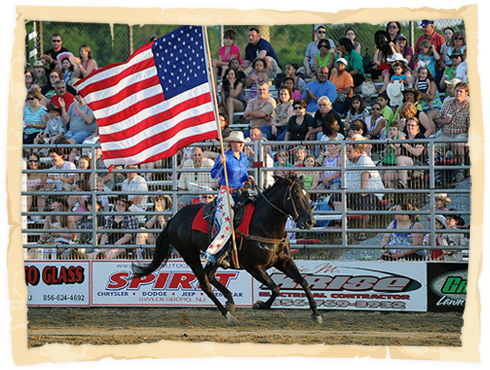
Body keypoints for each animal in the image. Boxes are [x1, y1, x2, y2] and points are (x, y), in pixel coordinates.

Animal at [132, 175, 322, 326]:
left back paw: (230, 300)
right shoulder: (254, 267)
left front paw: (316, 313)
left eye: (307, 195)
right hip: (190, 255)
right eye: (295, 195)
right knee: (205, 282)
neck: (264, 225)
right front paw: (260, 304)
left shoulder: (284, 261)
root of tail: (174, 219)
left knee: (209, 275)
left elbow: (304, 282)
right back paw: (229, 315)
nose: (310, 222)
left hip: (214, 257)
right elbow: (276, 288)